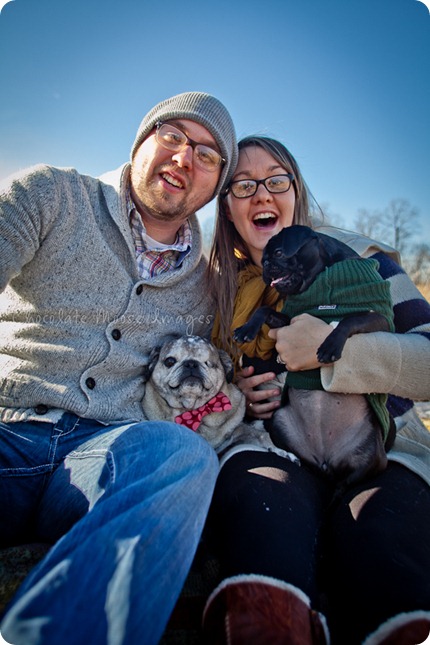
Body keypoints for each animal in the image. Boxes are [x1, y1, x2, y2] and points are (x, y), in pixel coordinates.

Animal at [233, 225, 394, 488]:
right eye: (264, 258)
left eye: (279, 253)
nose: (266, 265)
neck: (321, 278)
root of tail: (326, 460)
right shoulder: (288, 321)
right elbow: (264, 310)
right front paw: (246, 329)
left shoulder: (381, 318)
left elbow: (351, 318)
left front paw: (330, 346)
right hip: (278, 421)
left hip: (372, 459)